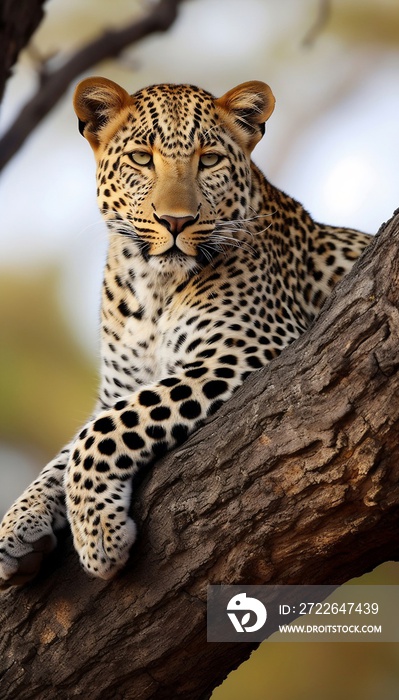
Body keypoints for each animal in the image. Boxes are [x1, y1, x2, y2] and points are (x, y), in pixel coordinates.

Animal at [0, 79, 372, 588]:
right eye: (142, 158)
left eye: (209, 160)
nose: (176, 221)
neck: (149, 289)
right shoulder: (117, 387)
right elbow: (65, 452)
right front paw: (17, 524)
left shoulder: (247, 348)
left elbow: (104, 429)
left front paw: (98, 533)